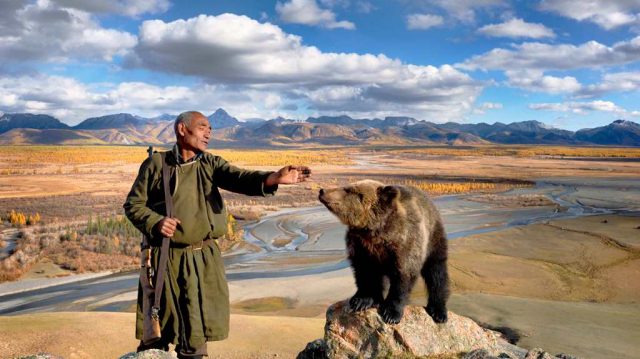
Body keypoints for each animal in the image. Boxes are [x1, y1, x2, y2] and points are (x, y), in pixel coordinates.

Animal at [318, 180, 450, 324]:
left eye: (348, 189)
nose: (322, 190)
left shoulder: (405, 243)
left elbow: (403, 276)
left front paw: (391, 313)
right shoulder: (361, 246)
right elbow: (364, 272)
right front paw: (361, 301)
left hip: (433, 238)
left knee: (436, 272)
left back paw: (438, 311)